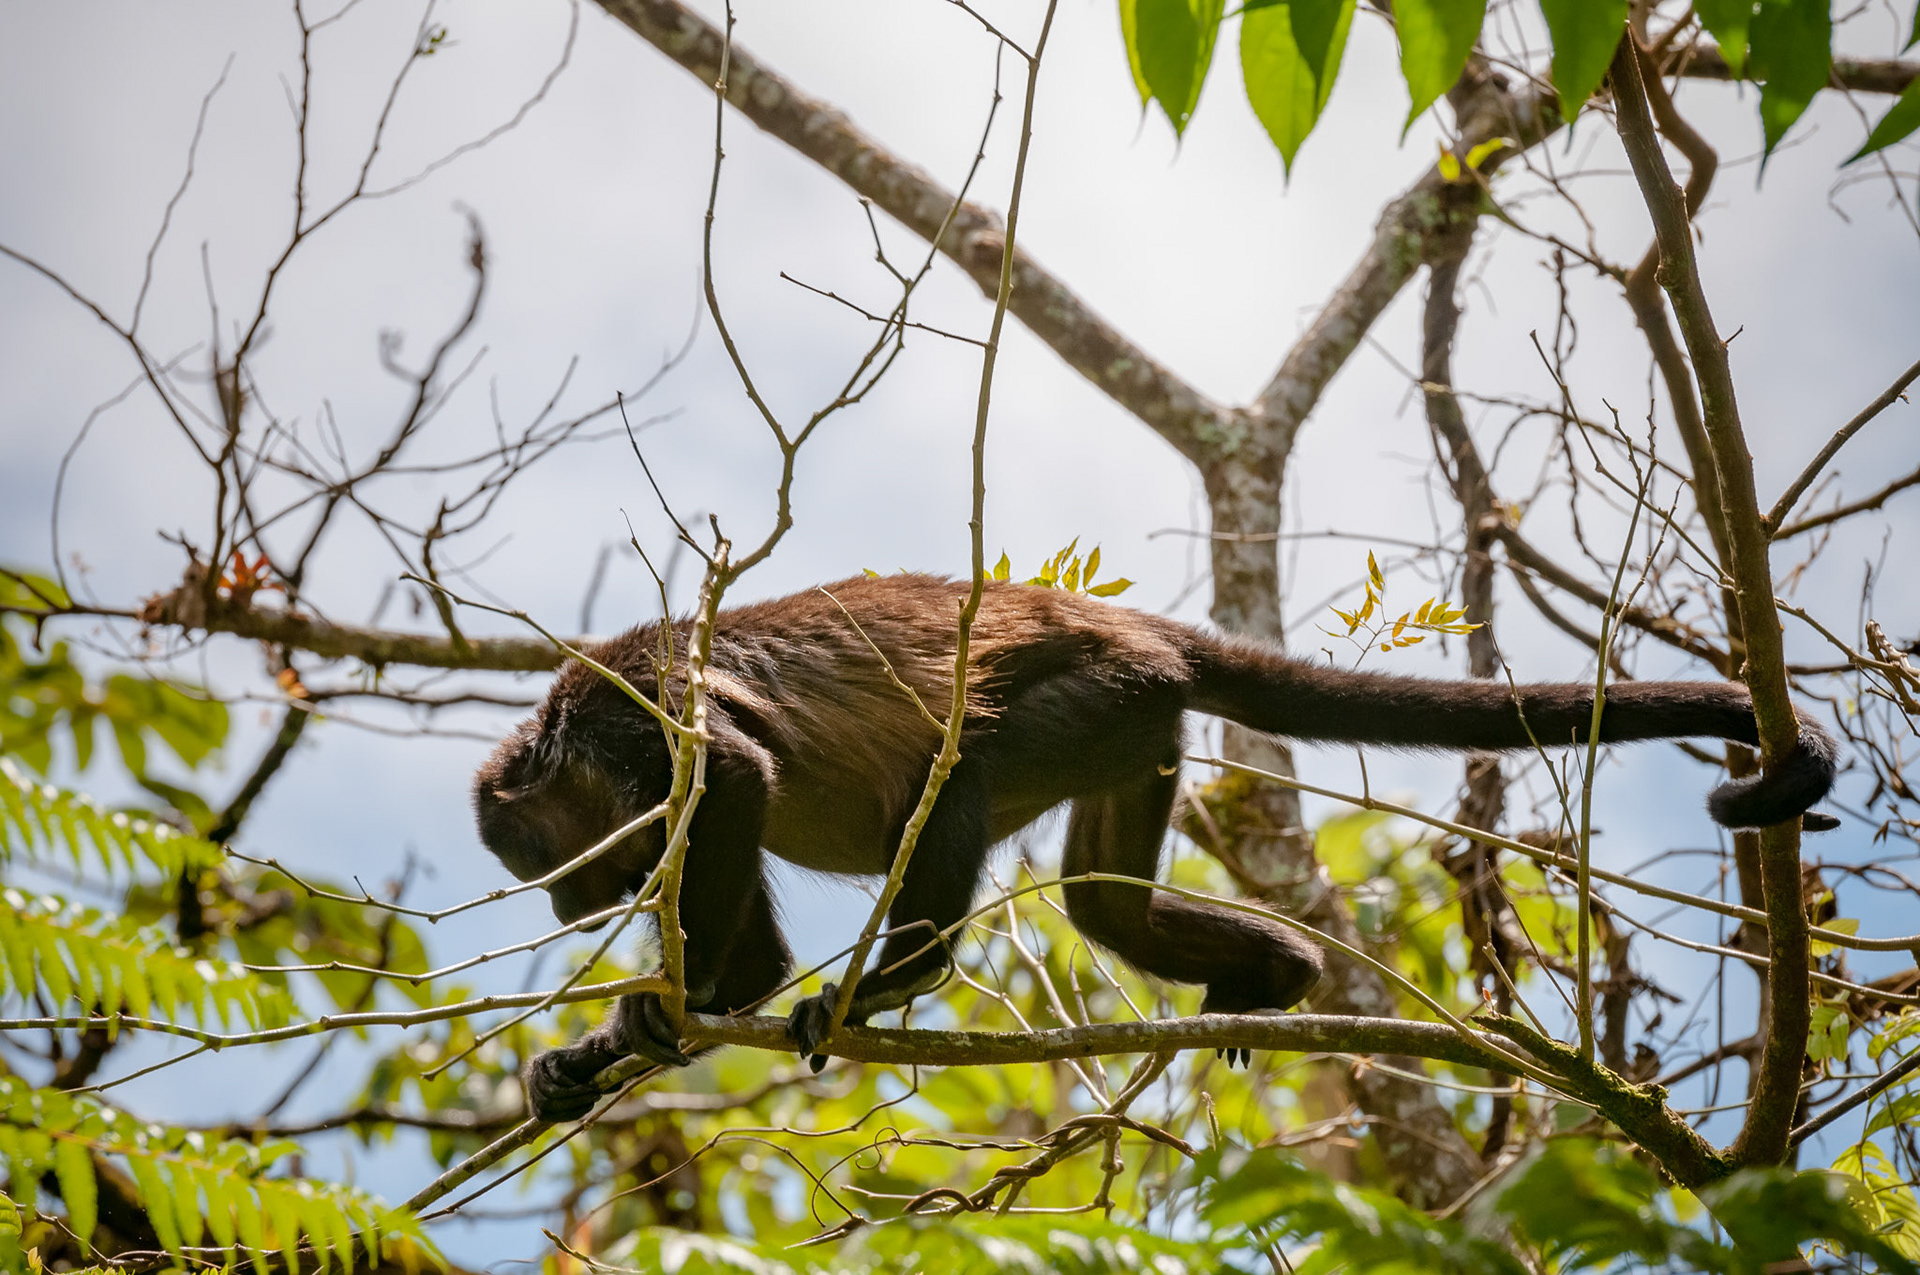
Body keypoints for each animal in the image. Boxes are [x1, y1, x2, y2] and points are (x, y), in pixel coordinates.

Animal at [473, 573, 1837, 1121]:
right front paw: (594, 1058)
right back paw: (1277, 972)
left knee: (960, 770)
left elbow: (739, 779)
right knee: (1101, 905)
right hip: (1140, 730)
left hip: (1100, 695)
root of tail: (1136, 629)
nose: (560, 915)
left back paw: (896, 978)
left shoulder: (636, 711)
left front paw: (678, 1006)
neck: (569, 736)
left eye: (547, 867)